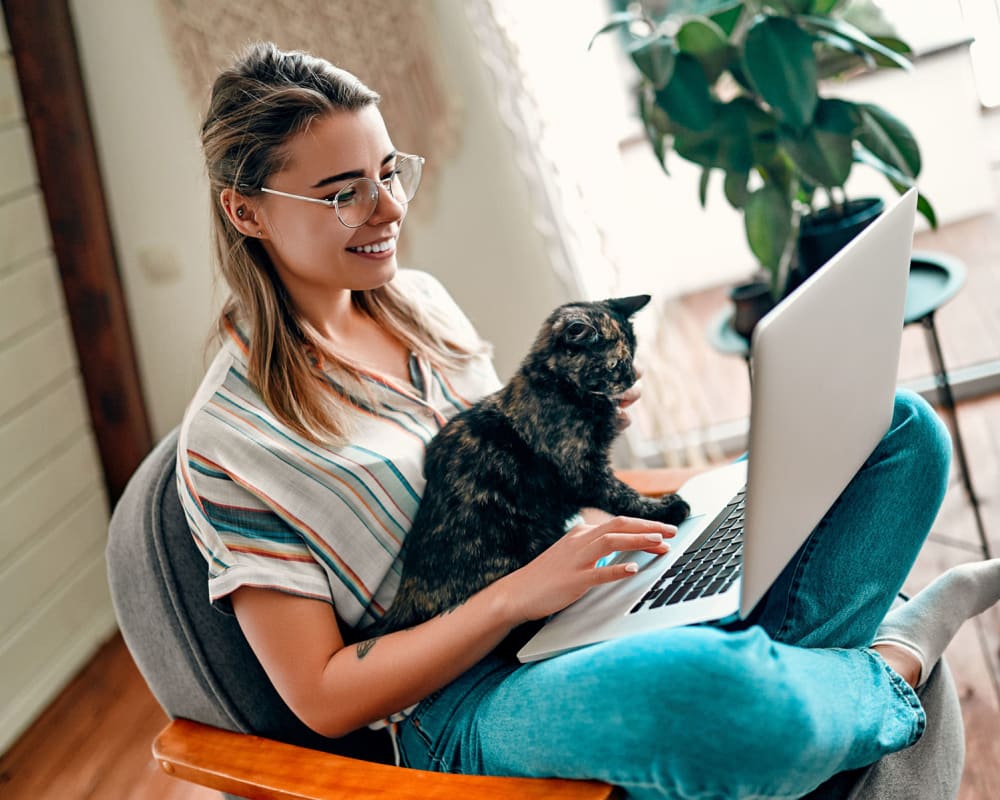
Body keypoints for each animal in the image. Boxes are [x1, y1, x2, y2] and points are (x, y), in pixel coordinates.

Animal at [366, 294, 688, 636]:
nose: (631, 377)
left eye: (633, 356)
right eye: (618, 364)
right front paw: (665, 509)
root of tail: (406, 595)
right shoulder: (582, 470)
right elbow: (622, 495)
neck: (556, 386)